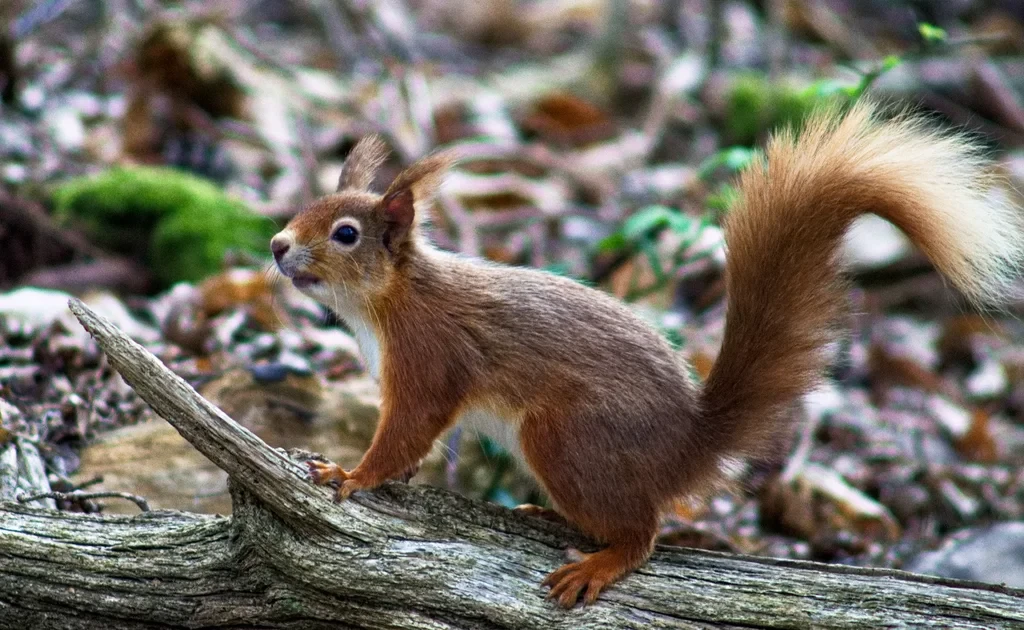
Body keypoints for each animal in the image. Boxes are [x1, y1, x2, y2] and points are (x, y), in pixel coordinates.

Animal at [270, 100, 1024, 608]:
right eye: (307, 207)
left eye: (344, 233)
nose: (277, 245)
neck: (388, 302)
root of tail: (683, 448)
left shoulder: (430, 357)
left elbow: (408, 430)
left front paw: (351, 475)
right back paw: (553, 517)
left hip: (566, 436)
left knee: (644, 532)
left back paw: (597, 563)